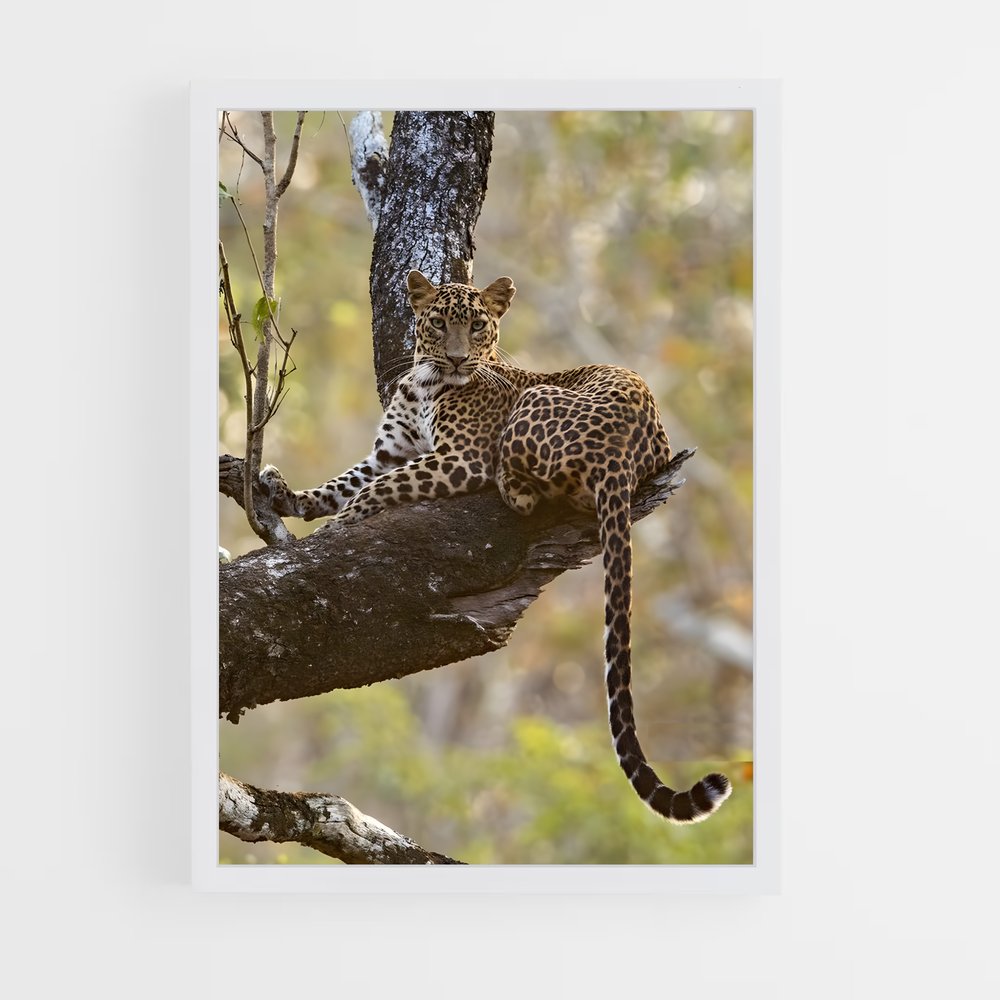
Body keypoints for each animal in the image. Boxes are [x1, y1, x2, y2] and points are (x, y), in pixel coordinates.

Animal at [260, 269, 732, 824]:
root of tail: (625, 455)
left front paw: (334, 532)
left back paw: (512, 484)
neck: (424, 383)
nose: (458, 359)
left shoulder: (459, 459)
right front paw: (289, 495)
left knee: (528, 494)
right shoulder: (389, 451)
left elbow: (376, 490)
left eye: (478, 325)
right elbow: (344, 483)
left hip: (533, 406)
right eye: (438, 324)